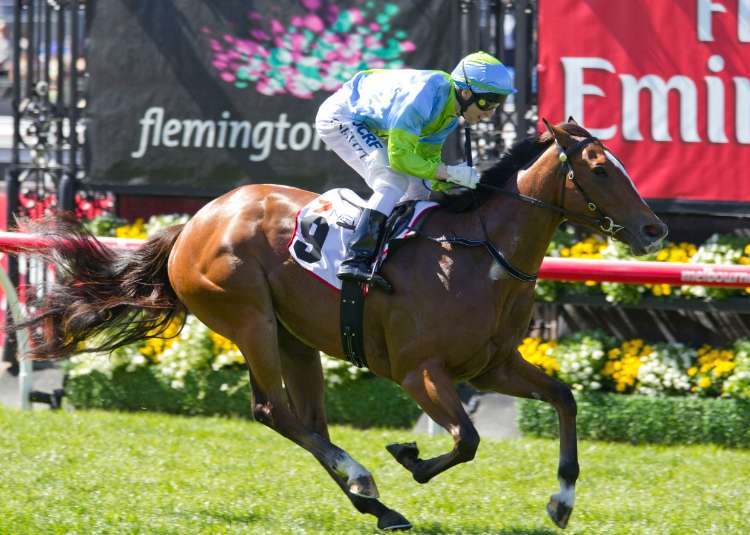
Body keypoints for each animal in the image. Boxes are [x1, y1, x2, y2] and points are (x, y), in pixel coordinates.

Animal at [12, 119, 667, 531]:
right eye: (599, 168)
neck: (479, 253)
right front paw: (409, 456)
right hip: (248, 318)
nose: (654, 229)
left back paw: (374, 505)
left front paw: (562, 500)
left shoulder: (493, 365)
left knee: (307, 420)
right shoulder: (418, 371)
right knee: (274, 412)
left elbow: (563, 398)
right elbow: (467, 439)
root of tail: (194, 221)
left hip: (295, 339)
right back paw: (365, 481)